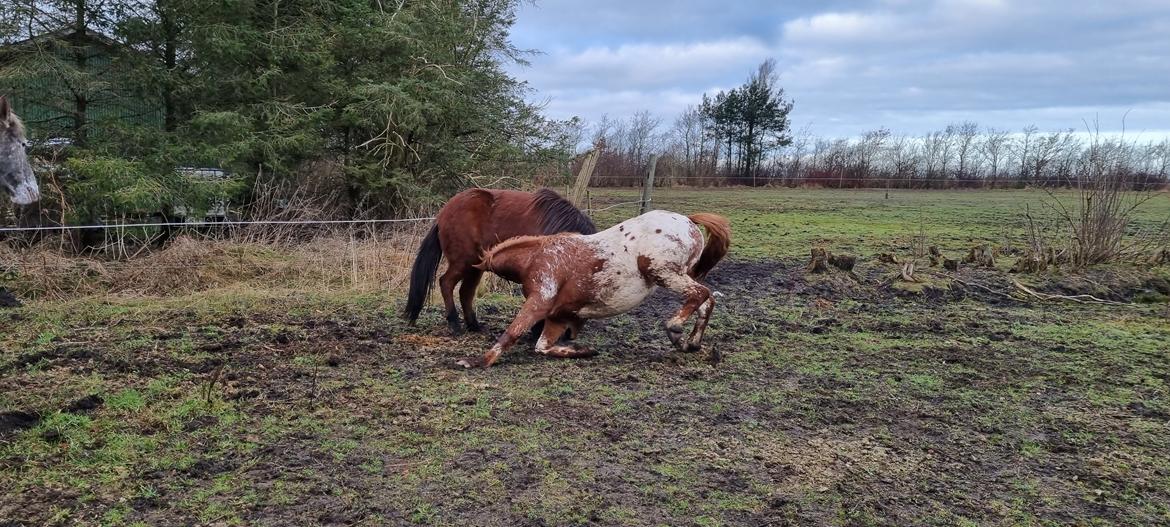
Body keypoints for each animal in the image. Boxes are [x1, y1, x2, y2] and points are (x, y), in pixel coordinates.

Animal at [407, 187, 599, 332]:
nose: (567, 336)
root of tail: (442, 214)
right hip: (462, 262)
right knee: (446, 283)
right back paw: (454, 324)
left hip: (474, 266)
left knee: (465, 292)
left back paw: (474, 325)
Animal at [456, 208, 730, 367]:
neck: (535, 257)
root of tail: (688, 220)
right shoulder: (558, 316)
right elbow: (543, 348)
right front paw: (584, 351)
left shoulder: (540, 302)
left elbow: (512, 333)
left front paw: (477, 361)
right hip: (679, 275)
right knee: (706, 301)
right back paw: (690, 343)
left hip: (665, 273)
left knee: (700, 294)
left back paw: (674, 328)